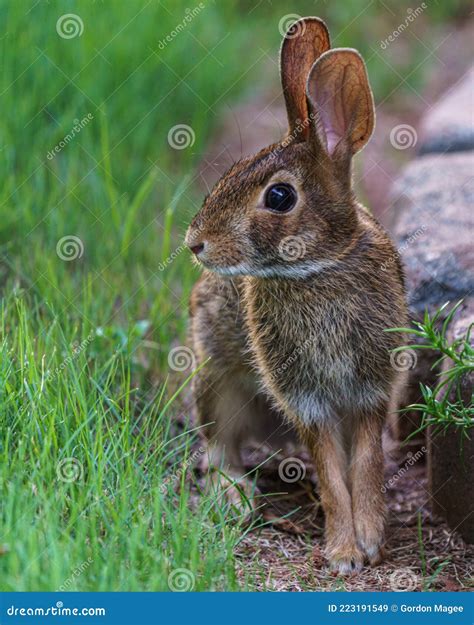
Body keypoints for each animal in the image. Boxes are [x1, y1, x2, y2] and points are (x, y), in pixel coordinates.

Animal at [185, 17, 408, 572]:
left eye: (280, 197)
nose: (195, 243)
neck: (319, 267)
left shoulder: (371, 390)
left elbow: (365, 463)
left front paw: (371, 541)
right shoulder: (305, 396)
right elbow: (331, 473)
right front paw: (345, 552)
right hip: (218, 382)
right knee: (217, 450)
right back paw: (235, 496)